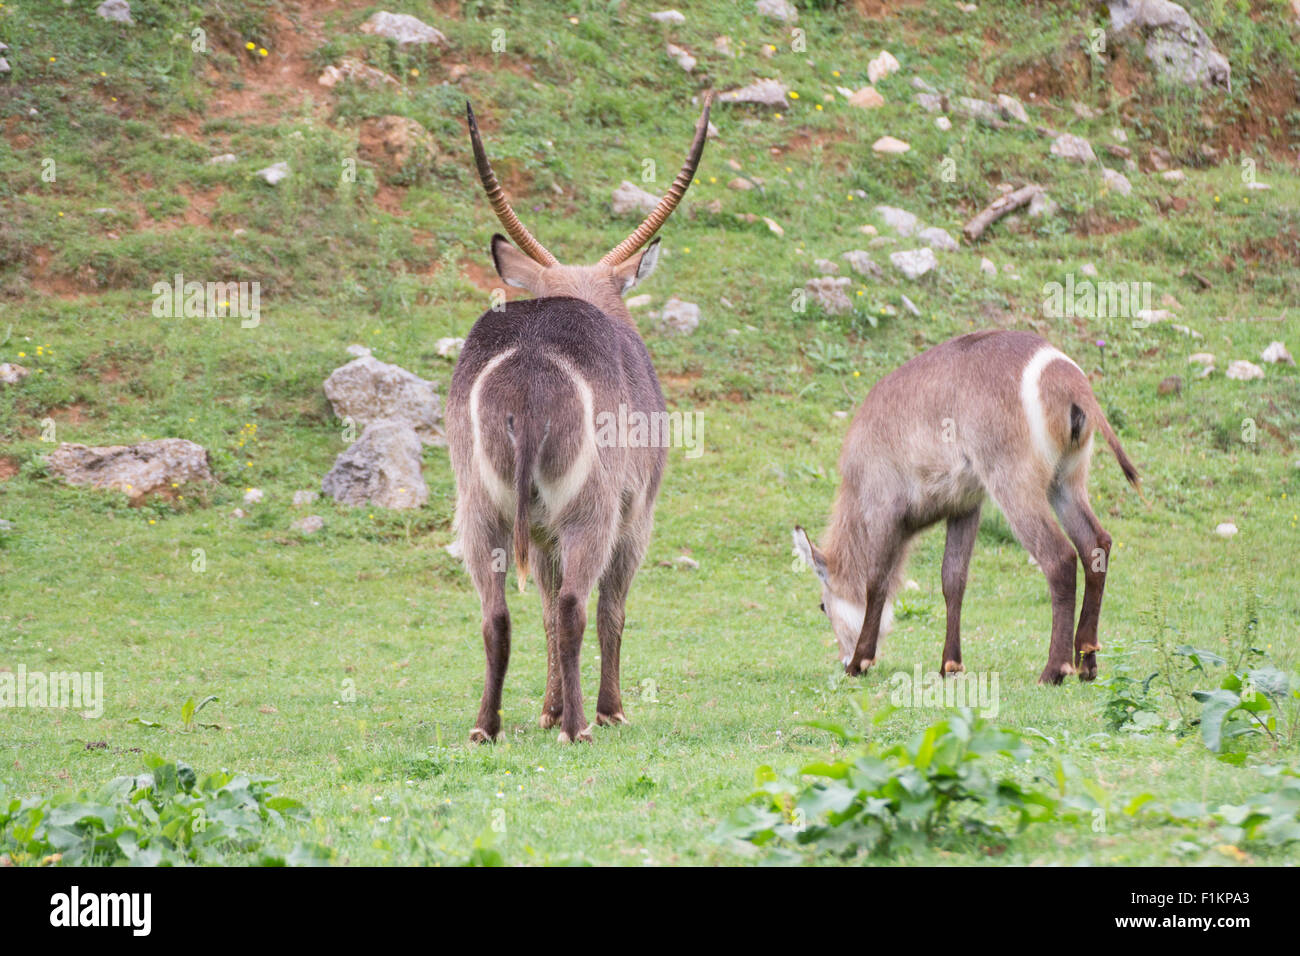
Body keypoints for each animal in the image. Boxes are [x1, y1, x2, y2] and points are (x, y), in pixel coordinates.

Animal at [444, 93, 712, 743]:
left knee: (496, 613)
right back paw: (581, 725)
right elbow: (612, 607)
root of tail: (530, 364)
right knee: (575, 606)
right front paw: (606, 708)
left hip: (481, 511)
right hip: (591, 511)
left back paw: (487, 726)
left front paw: (546, 709)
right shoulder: (636, 516)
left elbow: (540, 608)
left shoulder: (539, 535)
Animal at [790, 332, 1138, 686]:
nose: (842, 658)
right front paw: (950, 664)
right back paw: (1087, 661)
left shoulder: (882, 507)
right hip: (1066, 480)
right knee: (1096, 544)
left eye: (822, 606)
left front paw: (860, 661)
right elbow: (953, 579)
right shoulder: (965, 507)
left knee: (1060, 557)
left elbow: (877, 582)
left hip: (1015, 484)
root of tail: (1069, 379)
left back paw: (1054, 669)